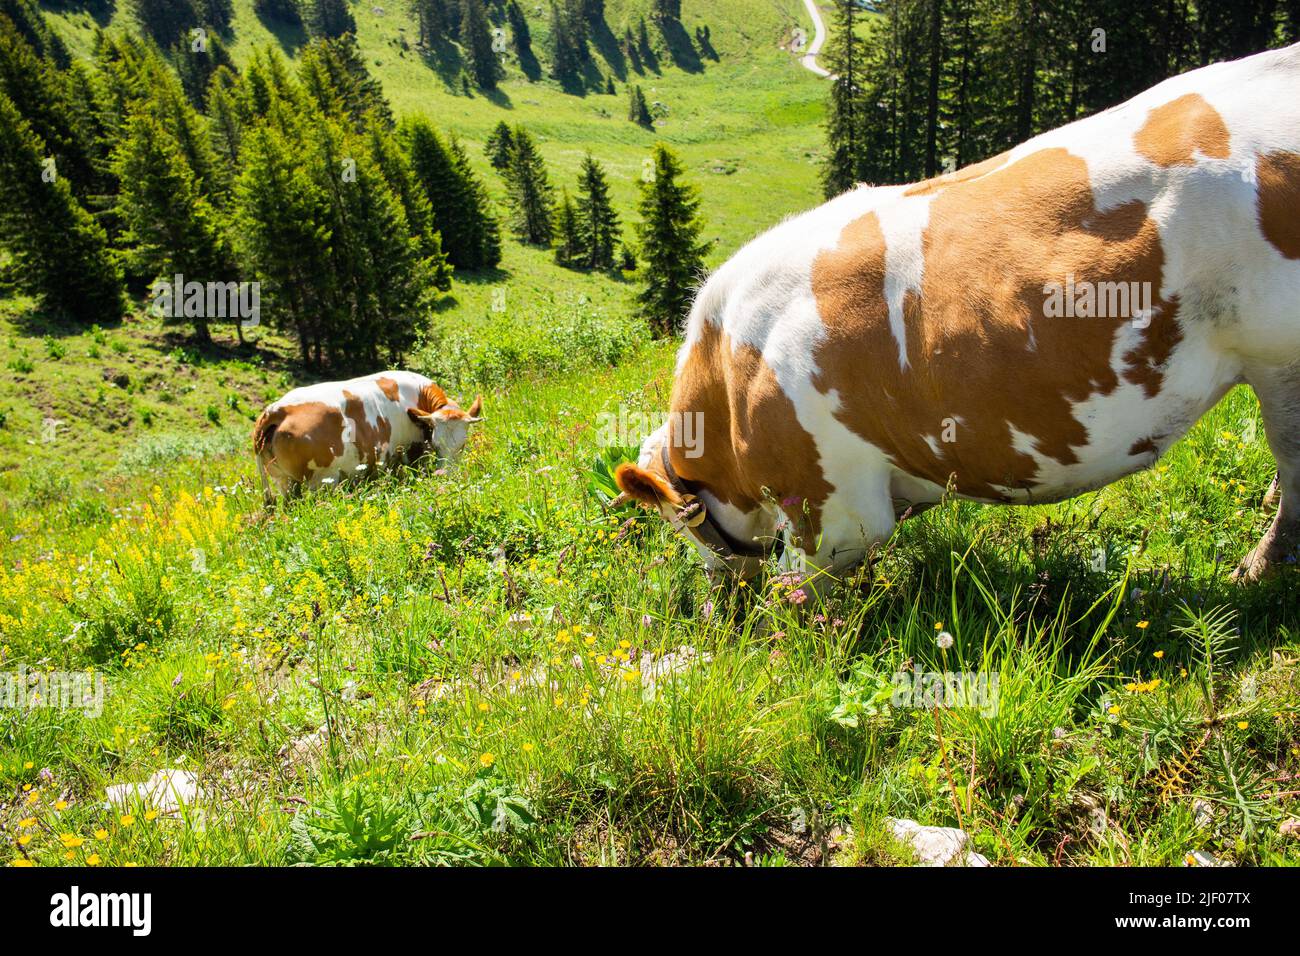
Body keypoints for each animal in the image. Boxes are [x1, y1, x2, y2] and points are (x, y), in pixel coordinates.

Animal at [253, 371, 482, 502]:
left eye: (463, 445)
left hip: (283, 481)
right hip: (322, 481)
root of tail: (276, 410)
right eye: (436, 445)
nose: (448, 476)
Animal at [614, 43, 1300, 585]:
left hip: (1277, 355)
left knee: (1293, 468)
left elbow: (804, 590)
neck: (729, 377)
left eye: (683, 527)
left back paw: (1255, 571)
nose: (719, 592)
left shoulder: (834, 509)